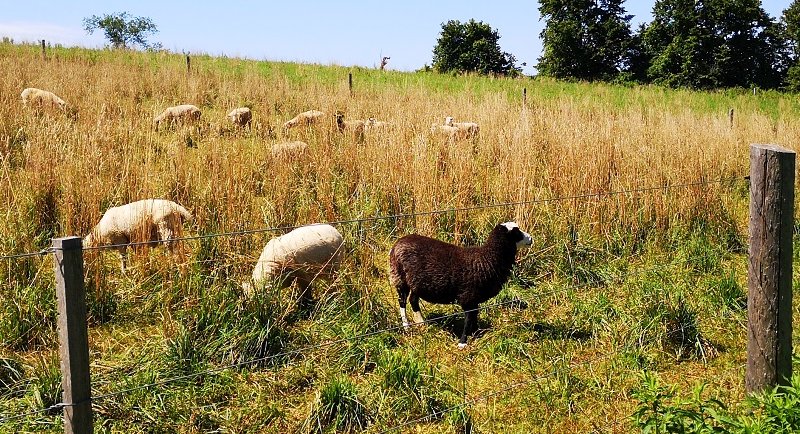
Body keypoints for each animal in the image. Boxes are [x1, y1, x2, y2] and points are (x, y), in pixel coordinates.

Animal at [388, 222, 532, 348]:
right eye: (516, 232)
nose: (531, 239)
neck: (487, 259)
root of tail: (398, 243)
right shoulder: (468, 297)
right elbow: (468, 319)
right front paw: (463, 343)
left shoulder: (474, 299)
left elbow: (474, 316)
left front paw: (476, 333)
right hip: (400, 277)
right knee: (402, 302)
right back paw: (406, 327)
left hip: (417, 282)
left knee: (413, 300)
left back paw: (421, 323)